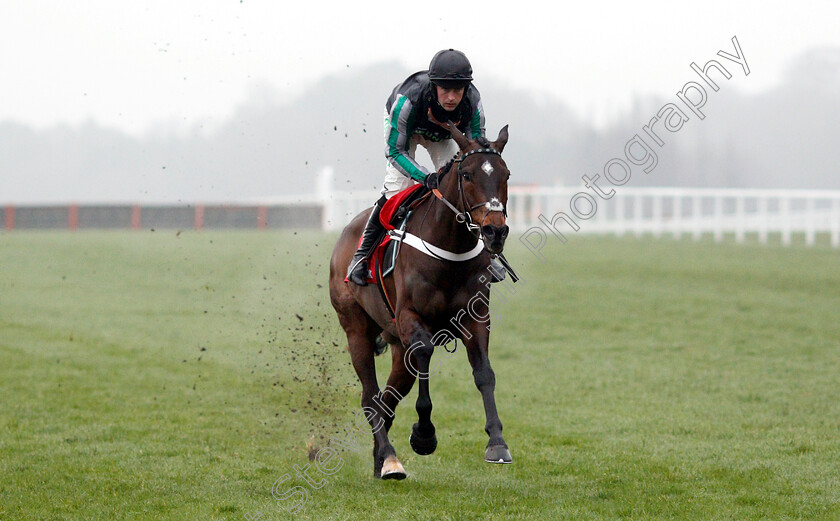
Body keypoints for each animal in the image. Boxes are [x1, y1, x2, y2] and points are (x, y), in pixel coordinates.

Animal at [328, 123, 512, 480]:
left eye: (506, 174)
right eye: (467, 175)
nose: (495, 232)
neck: (450, 248)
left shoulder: (476, 317)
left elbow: (484, 373)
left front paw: (497, 443)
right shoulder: (411, 317)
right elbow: (426, 352)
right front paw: (424, 435)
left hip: (398, 346)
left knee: (387, 398)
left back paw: (380, 458)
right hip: (356, 327)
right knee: (370, 396)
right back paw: (389, 458)